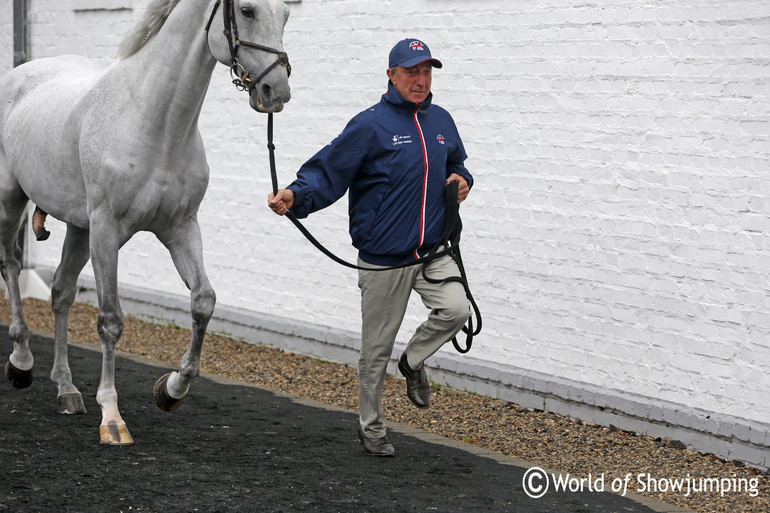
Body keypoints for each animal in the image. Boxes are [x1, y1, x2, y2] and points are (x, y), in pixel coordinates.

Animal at [0, 0, 292, 442]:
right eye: (247, 10)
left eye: (287, 14)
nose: (277, 91)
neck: (152, 123)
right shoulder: (107, 231)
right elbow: (110, 320)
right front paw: (111, 417)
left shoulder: (181, 229)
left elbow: (203, 302)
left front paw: (171, 390)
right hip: (11, 199)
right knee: (12, 266)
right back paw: (20, 362)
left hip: (80, 229)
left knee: (61, 293)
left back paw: (67, 390)